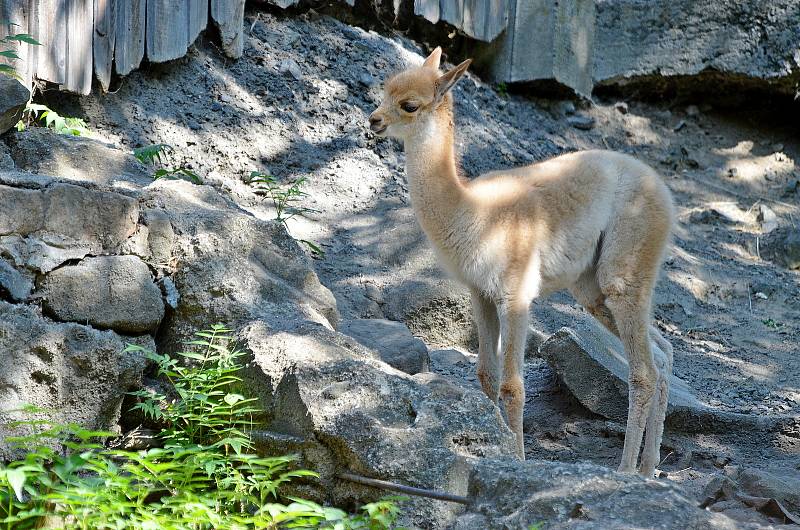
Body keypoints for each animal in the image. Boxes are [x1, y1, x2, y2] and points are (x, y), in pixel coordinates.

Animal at [368, 47, 676, 472]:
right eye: (383, 92)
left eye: (409, 105)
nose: (374, 120)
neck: (473, 212)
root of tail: (661, 186)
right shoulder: (480, 292)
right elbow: (486, 374)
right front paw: (491, 443)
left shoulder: (516, 295)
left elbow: (512, 385)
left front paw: (516, 460)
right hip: (592, 288)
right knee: (663, 355)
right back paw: (648, 468)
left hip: (625, 267)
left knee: (643, 371)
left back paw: (626, 469)